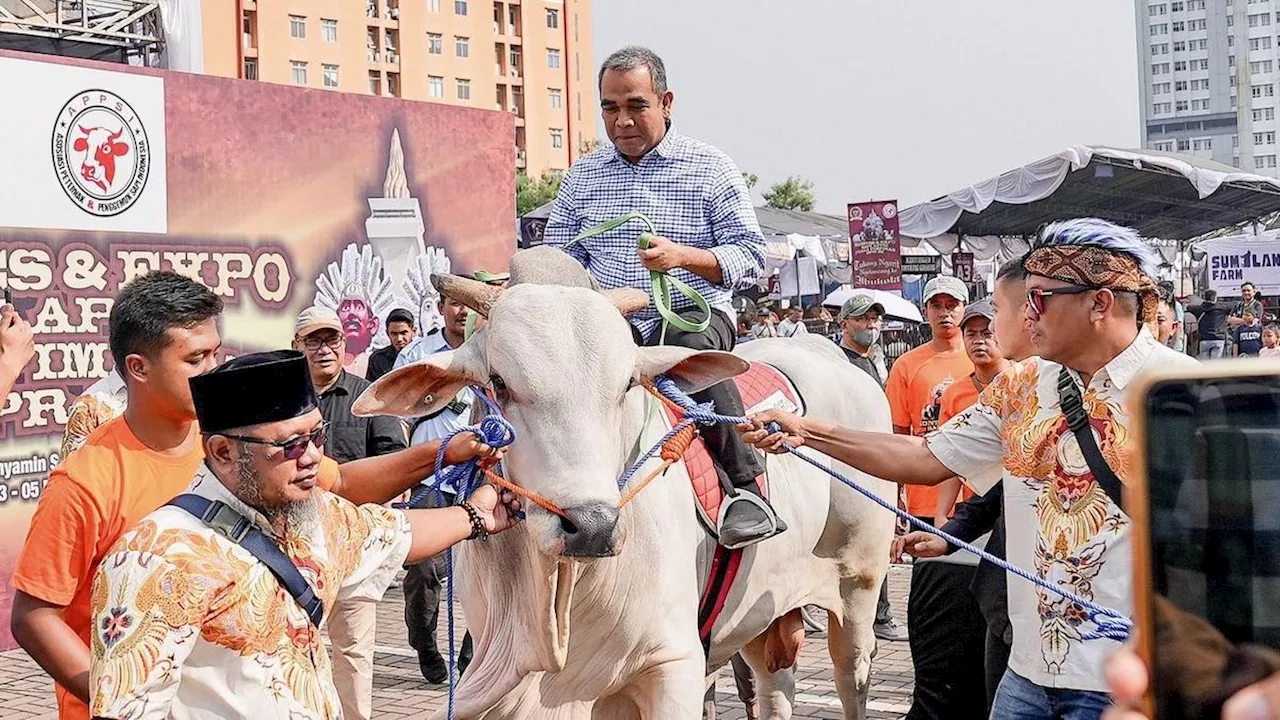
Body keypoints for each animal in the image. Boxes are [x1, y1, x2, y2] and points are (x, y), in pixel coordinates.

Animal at [355, 248, 896, 717]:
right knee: (774, 683)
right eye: (500, 384)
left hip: (859, 587)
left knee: (851, 678)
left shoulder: (675, 664)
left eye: (627, 385)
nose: (591, 526)